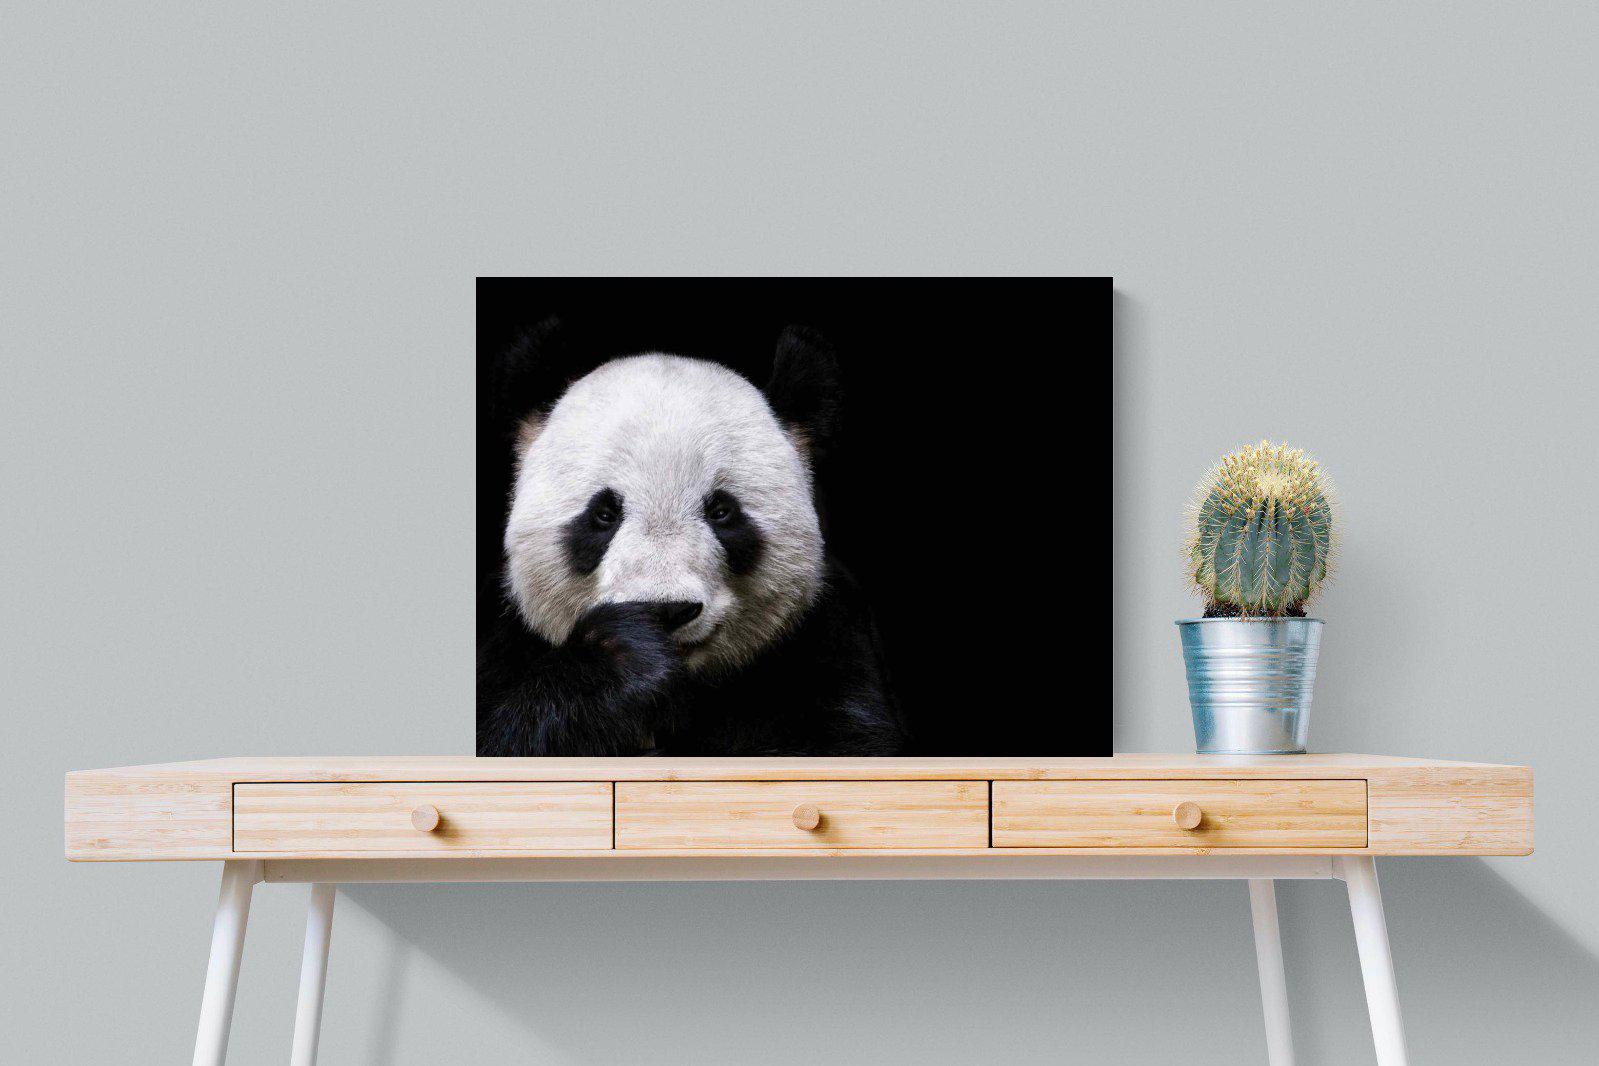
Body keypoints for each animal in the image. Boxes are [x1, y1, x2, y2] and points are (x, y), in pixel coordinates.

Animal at [477, 323, 905, 757]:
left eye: (721, 511)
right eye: (604, 514)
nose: (667, 610)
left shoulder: (828, 639)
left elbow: (843, 742)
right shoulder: (503, 636)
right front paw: (623, 656)